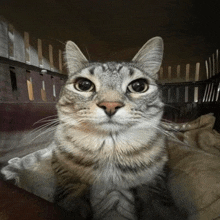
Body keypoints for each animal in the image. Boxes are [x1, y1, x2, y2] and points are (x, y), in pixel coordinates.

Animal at [51, 37, 170, 219]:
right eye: (84, 85)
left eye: (138, 86)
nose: (110, 105)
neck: (110, 147)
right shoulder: (60, 164)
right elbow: (70, 187)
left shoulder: (158, 175)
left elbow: (155, 197)